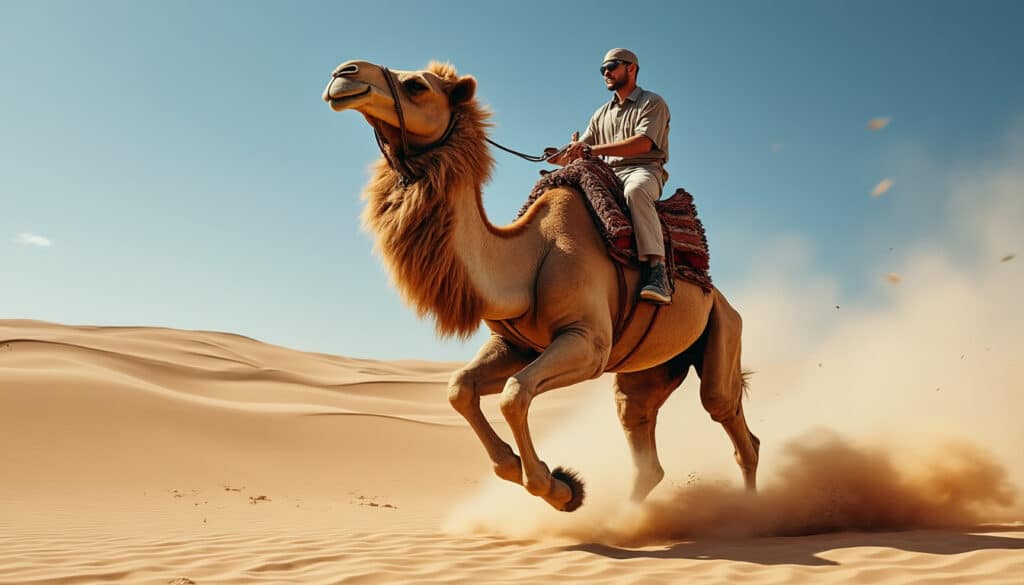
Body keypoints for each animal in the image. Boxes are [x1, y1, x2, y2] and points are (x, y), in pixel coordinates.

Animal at [322, 60, 759, 512]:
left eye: (415, 86)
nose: (344, 74)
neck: (527, 256)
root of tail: (723, 299)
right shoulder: (515, 344)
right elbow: (460, 388)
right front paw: (540, 476)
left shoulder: (588, 343)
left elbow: (514, 394)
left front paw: (557, 487)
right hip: (651, 366)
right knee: (639, 429)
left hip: (723, 329)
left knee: (727, 415)